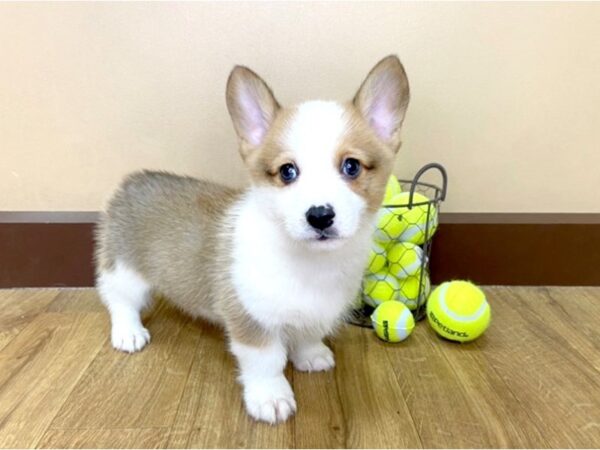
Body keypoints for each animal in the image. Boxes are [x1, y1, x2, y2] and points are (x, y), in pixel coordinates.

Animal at [96, 54, 410, 424]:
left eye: (352, 166)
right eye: (287, 171)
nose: (319, 215)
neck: (310, 264)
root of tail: (132, 182)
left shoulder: (316, 311)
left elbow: (308, 335)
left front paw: (311, 356)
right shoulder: (251, 318)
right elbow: (266, 362)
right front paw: (270, 398)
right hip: (124, 268)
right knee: (119, 299)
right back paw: (128, 333)